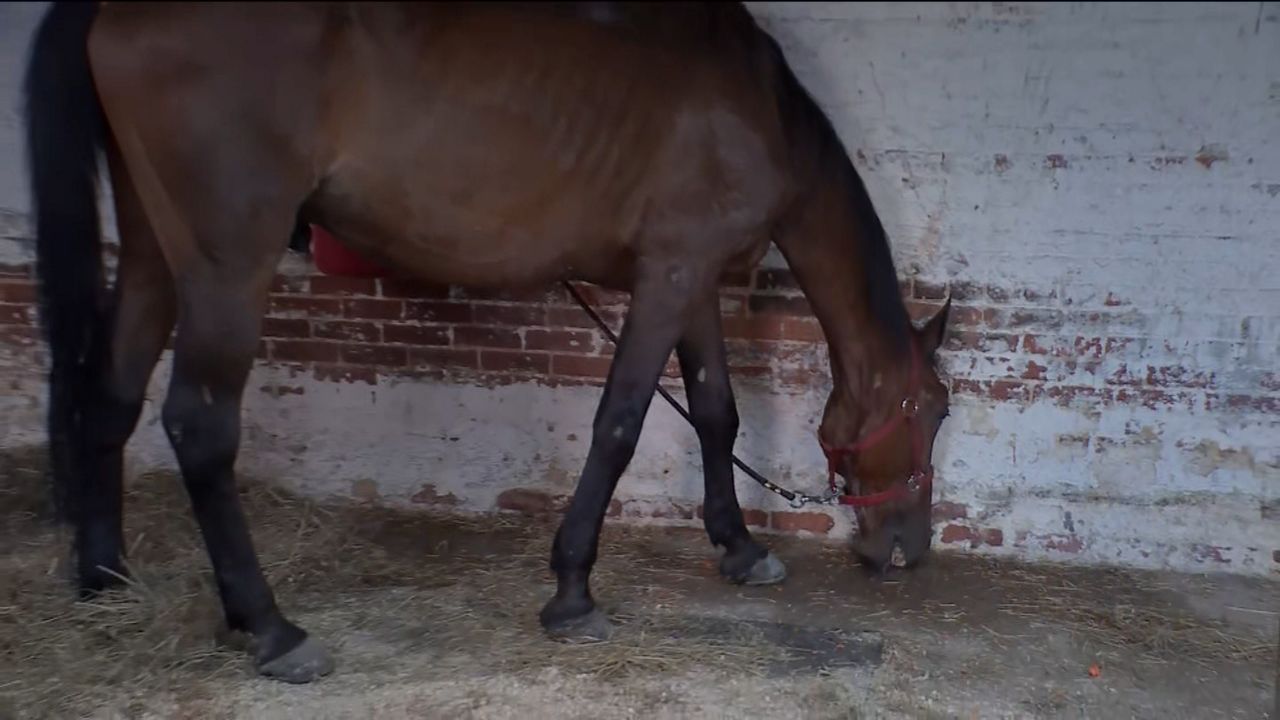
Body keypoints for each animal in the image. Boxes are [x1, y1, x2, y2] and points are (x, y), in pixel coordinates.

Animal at [23, 1, 952, 683]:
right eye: (936, 410)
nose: (909, 549)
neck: (758, 109)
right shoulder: (669, 280)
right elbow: (619, 426)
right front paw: (572, 592)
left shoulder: (692, 285)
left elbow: (716, 413)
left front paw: (740, 548)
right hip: (227, 263)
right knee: (200, 427)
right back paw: (273, 629)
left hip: (152, 250)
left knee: (111, 396)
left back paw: (105, 579)